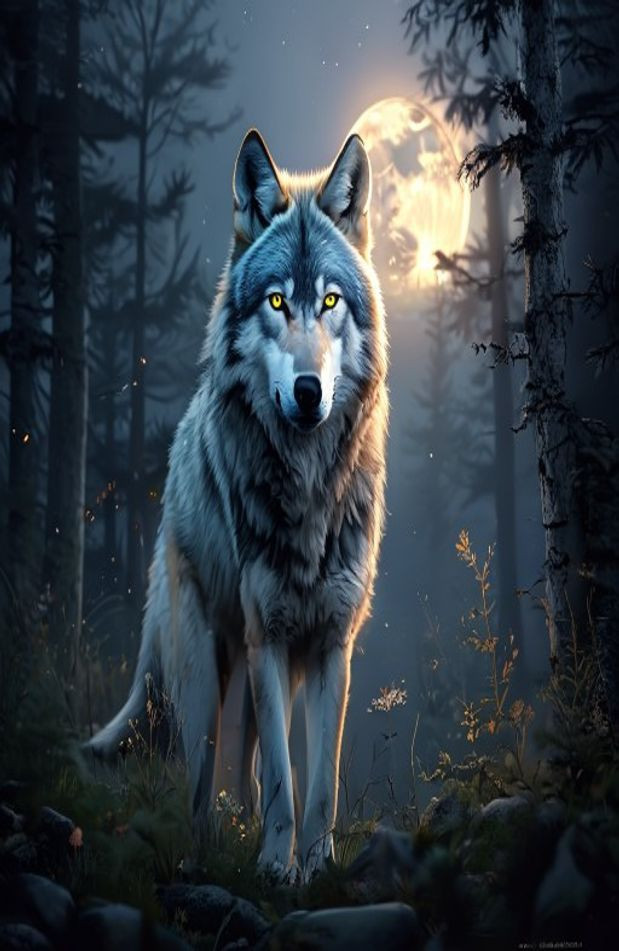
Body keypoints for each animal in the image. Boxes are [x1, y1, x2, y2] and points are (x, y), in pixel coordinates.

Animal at [88, 128, 388, 879]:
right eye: (277, 303)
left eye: (330, 302)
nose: (308, 391)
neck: (307, 489)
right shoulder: (269, 637)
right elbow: (284, 777)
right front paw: (278, 867)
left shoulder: (330, 644)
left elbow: (317, 780)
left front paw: (314, 865)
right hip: (206, 674)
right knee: (199, 782)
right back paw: (206, 855)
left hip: (255, 668)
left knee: (250, 758)